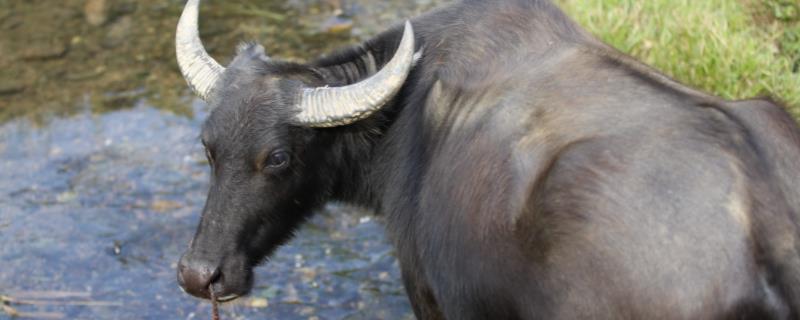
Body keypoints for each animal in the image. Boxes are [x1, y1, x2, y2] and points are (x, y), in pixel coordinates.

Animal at [178, 0, 800, 318]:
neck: (400, 118)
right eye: (209, 147)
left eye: (277, 158)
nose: (198, 274)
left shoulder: (432, 299)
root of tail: (767, 227)